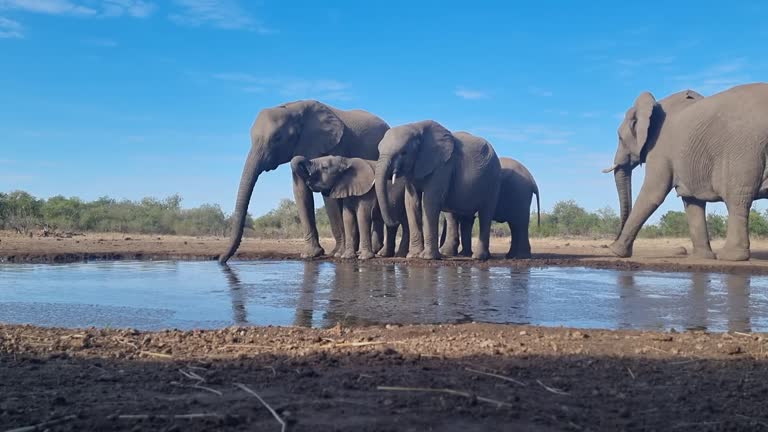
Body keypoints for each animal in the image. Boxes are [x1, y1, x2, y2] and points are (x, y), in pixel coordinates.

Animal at [220, 101, 390, 264]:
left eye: (277, 138)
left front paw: (337, 253)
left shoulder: (334, 146)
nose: (221, 260)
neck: (294, 108)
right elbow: (300, 192)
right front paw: (311, 254)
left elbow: (329, 196)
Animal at [376, 120, 500, 260]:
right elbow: (411, 203)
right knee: (458, 216)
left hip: (493, 180)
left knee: (485, 214)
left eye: (404, 152)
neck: (416, 127)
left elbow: (429, 201)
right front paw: (413, 255)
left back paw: (478, 257)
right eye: (379, 150)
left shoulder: (443, 165)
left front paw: (427, 257)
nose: (395, 221)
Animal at [608, 83, 768, 262]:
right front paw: (703, 258)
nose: (610, 242)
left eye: (620, 138)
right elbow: (692, 200)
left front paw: (616, 252)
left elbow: (653, 193)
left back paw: (730, 257)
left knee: (736, 199)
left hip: (744, 152)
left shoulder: (660, 148)